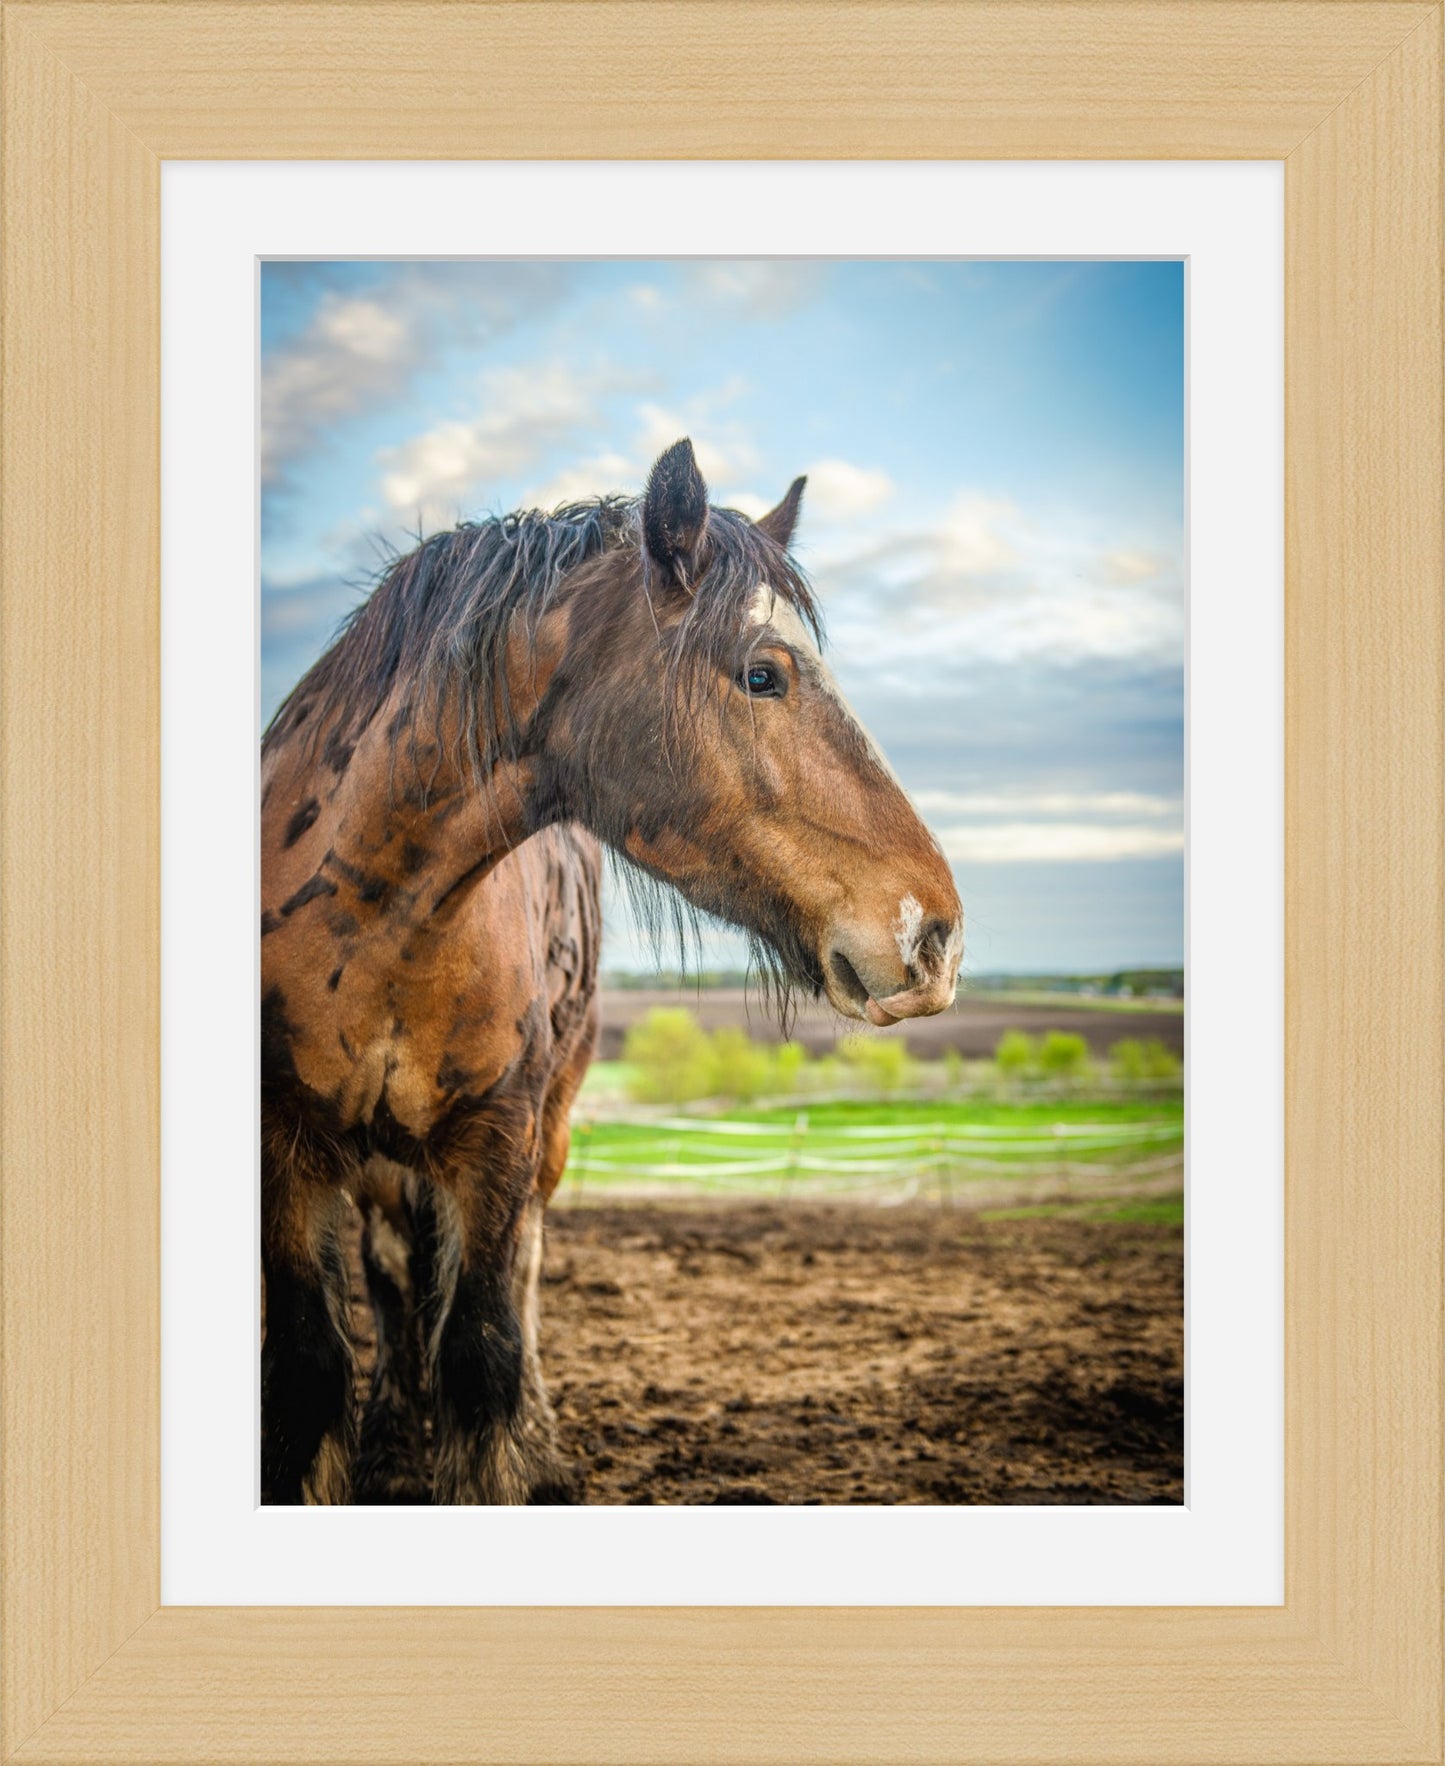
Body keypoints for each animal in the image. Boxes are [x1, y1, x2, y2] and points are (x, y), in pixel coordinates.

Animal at [259, 441, 953, 1504]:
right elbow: (311, 1372)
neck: (373, 919)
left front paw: (512, 1458)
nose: (935, 933)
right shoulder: (286, 1151)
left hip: (540, 1136)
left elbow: (485, 1353)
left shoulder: (496, 1139)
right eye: (763, 674)